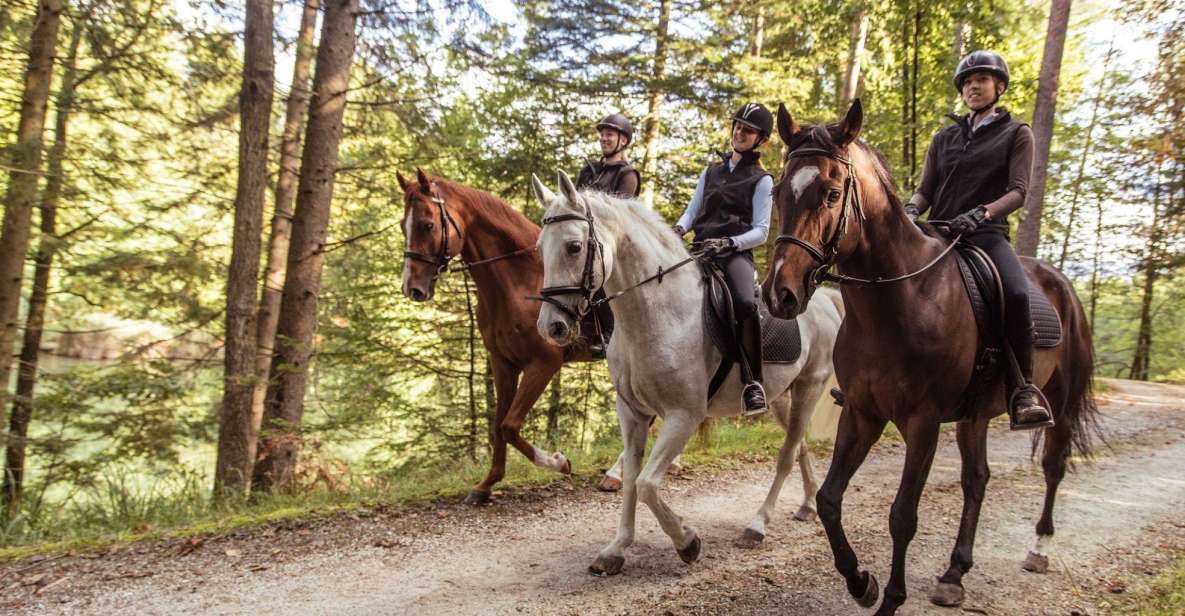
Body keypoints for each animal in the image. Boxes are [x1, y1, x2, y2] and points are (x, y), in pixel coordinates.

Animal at [398, 169, 611, 504]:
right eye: (402, 225)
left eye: (427, 224)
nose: (412, 288)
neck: (517, 281)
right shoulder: (503, 363)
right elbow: (499, 424)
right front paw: (486, 485)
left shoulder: (543, 363)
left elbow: (510, 426)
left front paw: (560, 462)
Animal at [528, 170, 843, 575]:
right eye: (540, 249)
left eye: (573, 247)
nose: (550, 327)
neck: (656, 313)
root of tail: (824, 300)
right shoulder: (631, 413)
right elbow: (631, 481)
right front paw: (616, 549)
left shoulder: (684, 415)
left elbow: (647, 484)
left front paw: (687, 541)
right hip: (780, 397)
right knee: (799, 444)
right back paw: (806, 505)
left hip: (809, 388)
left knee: (787, 454)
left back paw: (757, 525)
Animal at [763, 102, 1094, 616]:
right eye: (779, 192)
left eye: (832, 193)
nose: (780, 295)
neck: (901, 299)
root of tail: (1061, 283)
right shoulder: (862, 412)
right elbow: (830, 499)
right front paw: (861, 582)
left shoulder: (922, 422)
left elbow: (902, 515)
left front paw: (890, 599)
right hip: (974, 416)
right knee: (977, 479)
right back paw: (954, 574)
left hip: (1057, 400)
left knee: (1053, 466)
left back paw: (1038, 549)